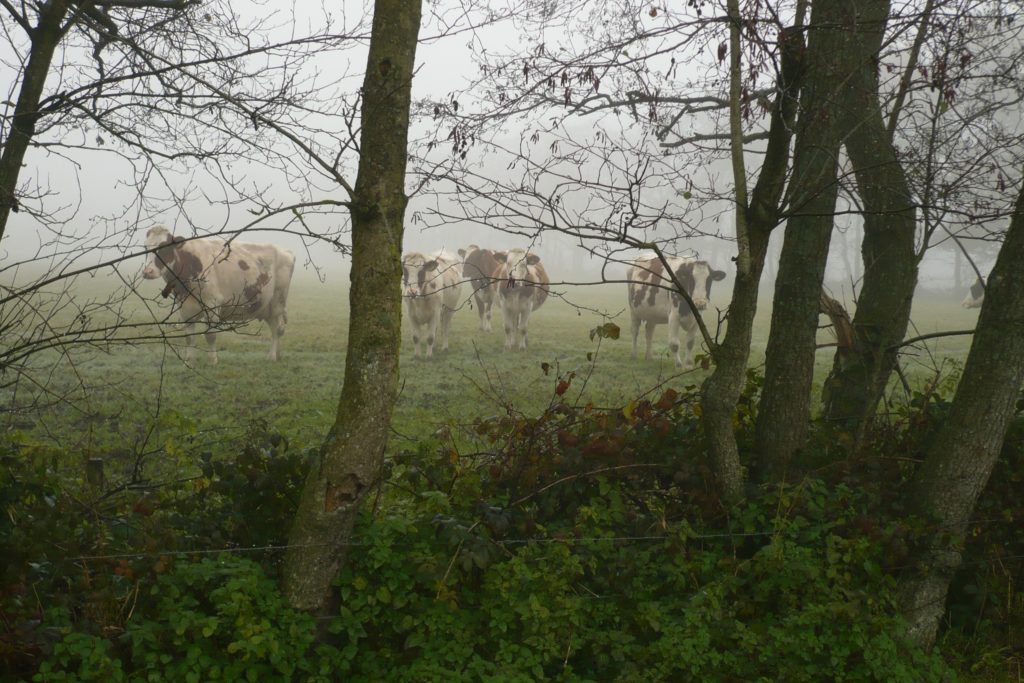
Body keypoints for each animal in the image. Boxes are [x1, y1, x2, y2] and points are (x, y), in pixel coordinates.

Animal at [141, 226, 295, 365]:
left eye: (164, 247)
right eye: (145, 247)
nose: (147, 271)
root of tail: (286, 252)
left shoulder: (212, 304)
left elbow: (210, 335)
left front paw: (212, 360)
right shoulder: (184, 308)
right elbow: (189, 338)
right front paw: (189, 361)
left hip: (277, 302)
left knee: (277, 329)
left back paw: (272, 356)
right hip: (266, 306)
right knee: (275, 327)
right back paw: (275, 354)